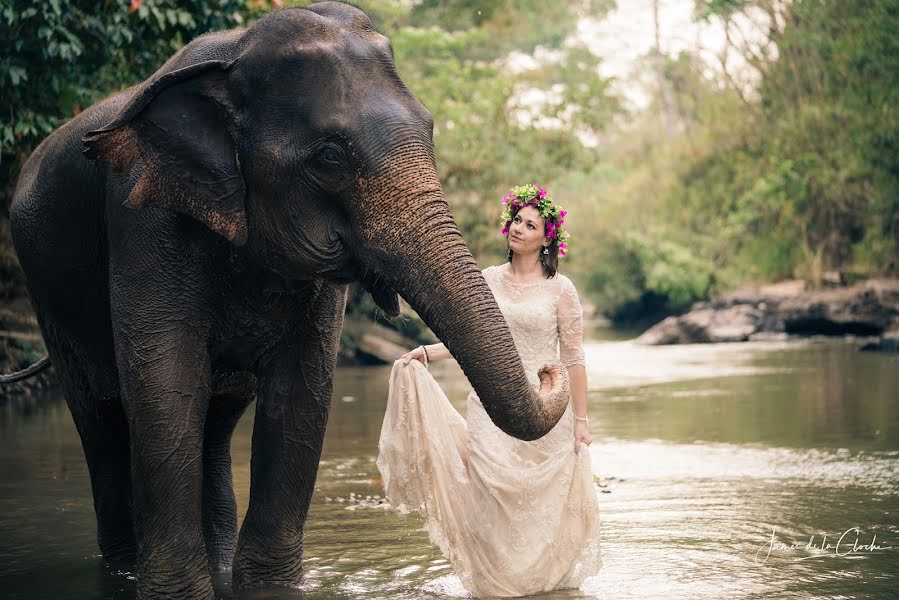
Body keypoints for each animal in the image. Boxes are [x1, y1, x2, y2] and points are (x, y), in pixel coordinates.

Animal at [7, 2, 568, 596]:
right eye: (329, 156)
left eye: (431, 129)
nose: (548, 371)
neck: (234, 53)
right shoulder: (144, 220)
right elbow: (166, 383)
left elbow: (301, 391)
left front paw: (268, 588)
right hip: (49, 298)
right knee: (100, 419)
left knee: (214, 423)